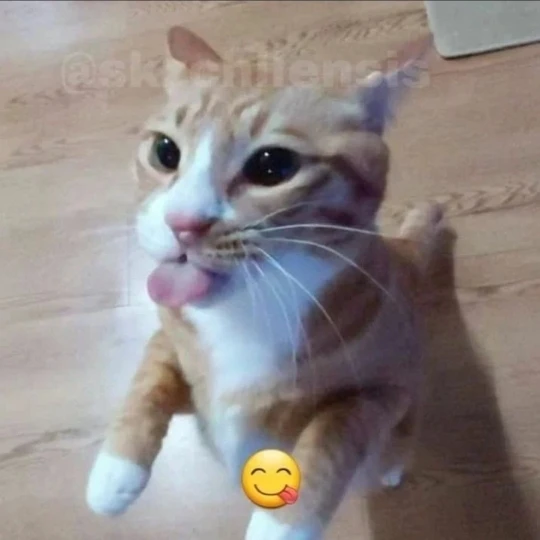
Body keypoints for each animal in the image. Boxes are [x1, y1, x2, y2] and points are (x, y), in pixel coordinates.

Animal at [86, 25, 445, 540]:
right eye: (165, 152)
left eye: (272, 166)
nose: (182, 223)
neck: (244, 310)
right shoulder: (171, 340)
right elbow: (148, 381)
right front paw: (114, 472)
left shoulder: (382, 391)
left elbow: (331, 434)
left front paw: (280, 523)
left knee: (393, 447)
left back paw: (392, 468)